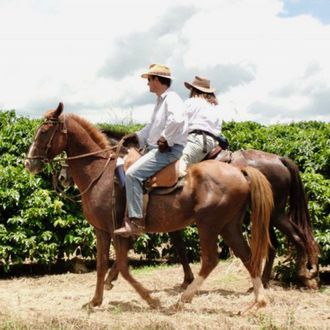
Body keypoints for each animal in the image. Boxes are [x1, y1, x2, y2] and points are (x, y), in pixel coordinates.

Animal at [24, 103, 274, 312]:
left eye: (44, 131)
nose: (29, 163)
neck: (100, 173)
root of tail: (240, 171)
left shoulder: (118, 230)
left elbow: (123, 266)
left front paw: (150, 299)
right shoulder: (102, 230)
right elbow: (102, 264)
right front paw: (95, 300)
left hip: (209, 225)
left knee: (211, 260)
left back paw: (183, 299)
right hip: (229, 225)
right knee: (247, 256)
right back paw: (258, 302)